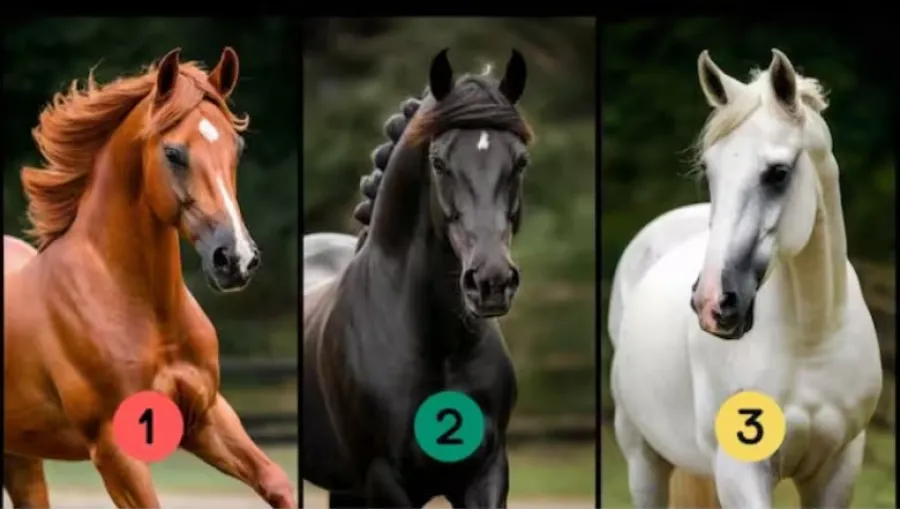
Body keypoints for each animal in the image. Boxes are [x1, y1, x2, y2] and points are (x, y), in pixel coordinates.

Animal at [3, 48, 296, 508]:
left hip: (21, 456)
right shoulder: (115, 449)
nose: (236, 259)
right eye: (173, 153)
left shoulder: (206, 416)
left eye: (237, 147)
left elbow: (276, 480)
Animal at [303, 48, 532, 508]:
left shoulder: (487, 474)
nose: (492, 281)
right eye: (439, 162)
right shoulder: (385, 480)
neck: (439, 347)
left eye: (520, 161)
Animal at [608, 49, 883, 508]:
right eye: (709, 170)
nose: (712, 304)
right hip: (643, 461)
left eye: (777, 173)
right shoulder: (740, 470)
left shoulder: (838, 469)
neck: (812, 340)